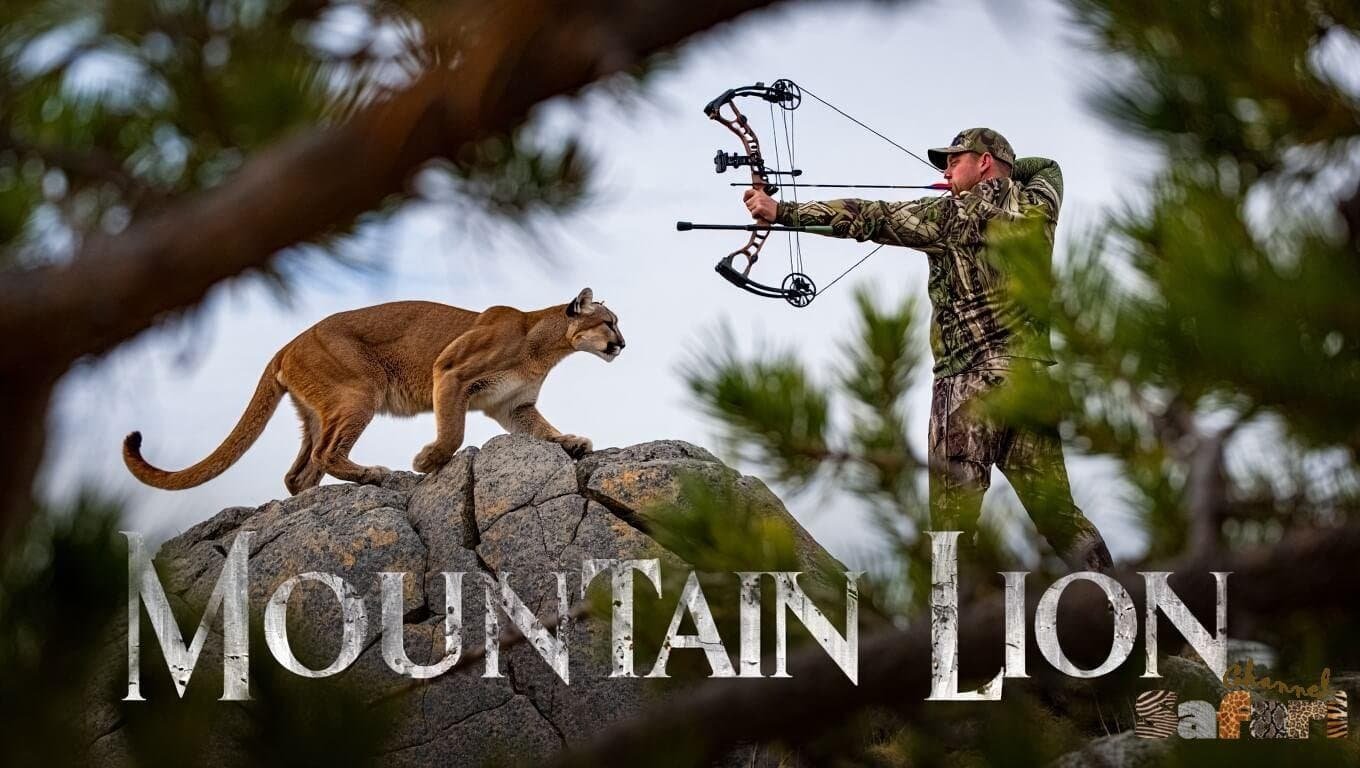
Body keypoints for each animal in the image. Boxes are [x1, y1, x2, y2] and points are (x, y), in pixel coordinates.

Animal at [123, 287, 624, 494]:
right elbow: (454, 431)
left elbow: (542, 429)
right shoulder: (451, 372)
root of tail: (288, 343)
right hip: (360, 392)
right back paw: (371, 474)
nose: (623, 344)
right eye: (609, 322)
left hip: (320, 410)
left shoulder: (514, 405)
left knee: (299, 471)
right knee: (325, 452)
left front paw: (571, 442)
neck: (545, 347)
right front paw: (428, 460)